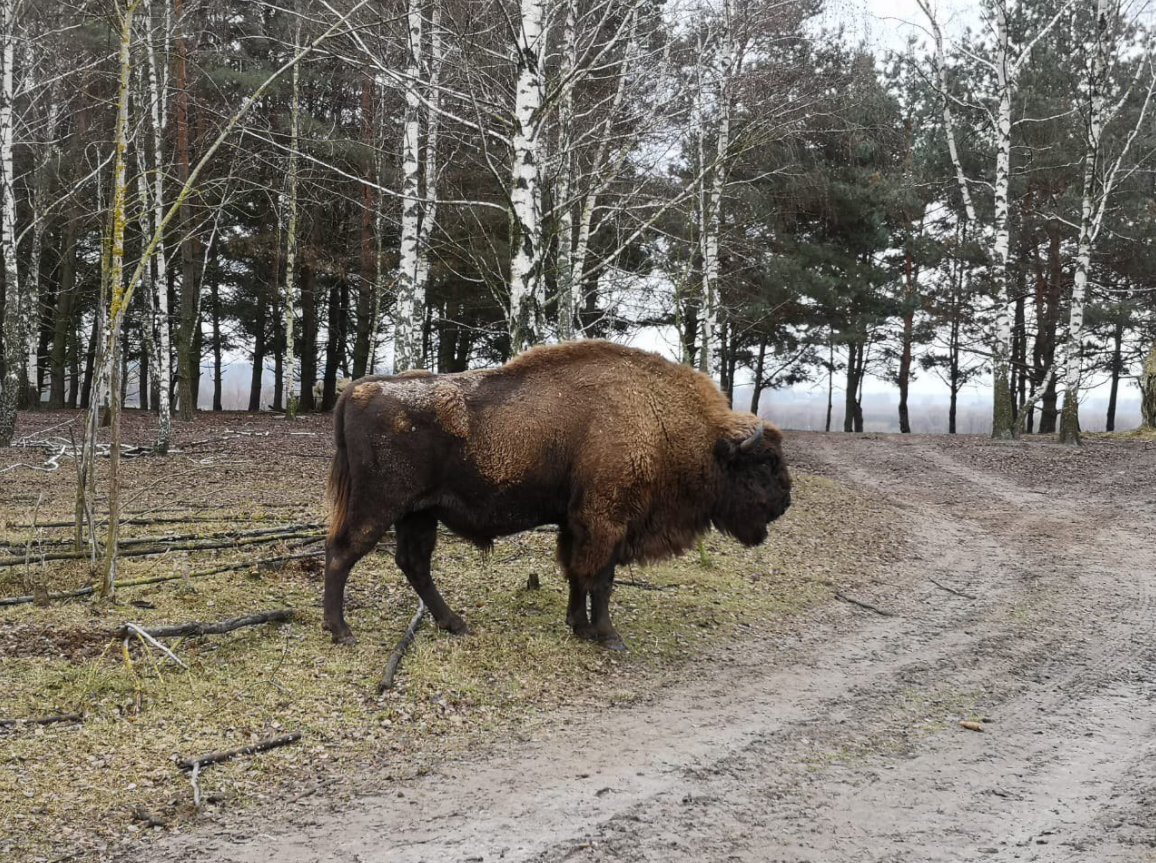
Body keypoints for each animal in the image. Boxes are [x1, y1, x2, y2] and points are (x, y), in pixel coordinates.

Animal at [325, 341, 795, 651]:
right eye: (765, 463)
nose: (784, 502)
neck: (662, 421)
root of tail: (357, 390)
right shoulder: (607, 521)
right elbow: (600, 579)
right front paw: (609, 636)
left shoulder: (578, 524)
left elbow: (577, 573)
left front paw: (580, 627)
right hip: (380, 506)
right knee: (343, 552)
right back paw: (341, 631)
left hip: (419, 512)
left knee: (413, 563)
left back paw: (454, 623)